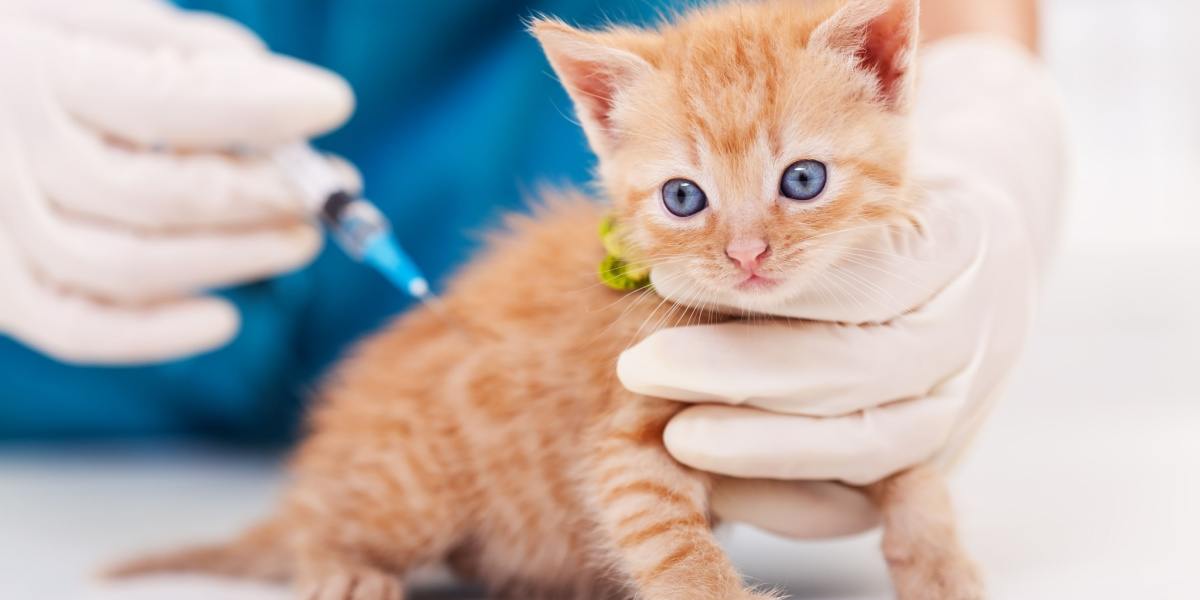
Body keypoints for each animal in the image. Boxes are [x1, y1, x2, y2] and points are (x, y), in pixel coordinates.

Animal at [114, 1, 984, 600]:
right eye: (683, 197)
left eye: (802, 179)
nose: (745, 254)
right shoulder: (623, 441)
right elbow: (672, 542)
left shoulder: (867, 397)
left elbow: (915, 475)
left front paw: (942, 567)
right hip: (412, 486)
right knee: (319, 529)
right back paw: (340, 565)